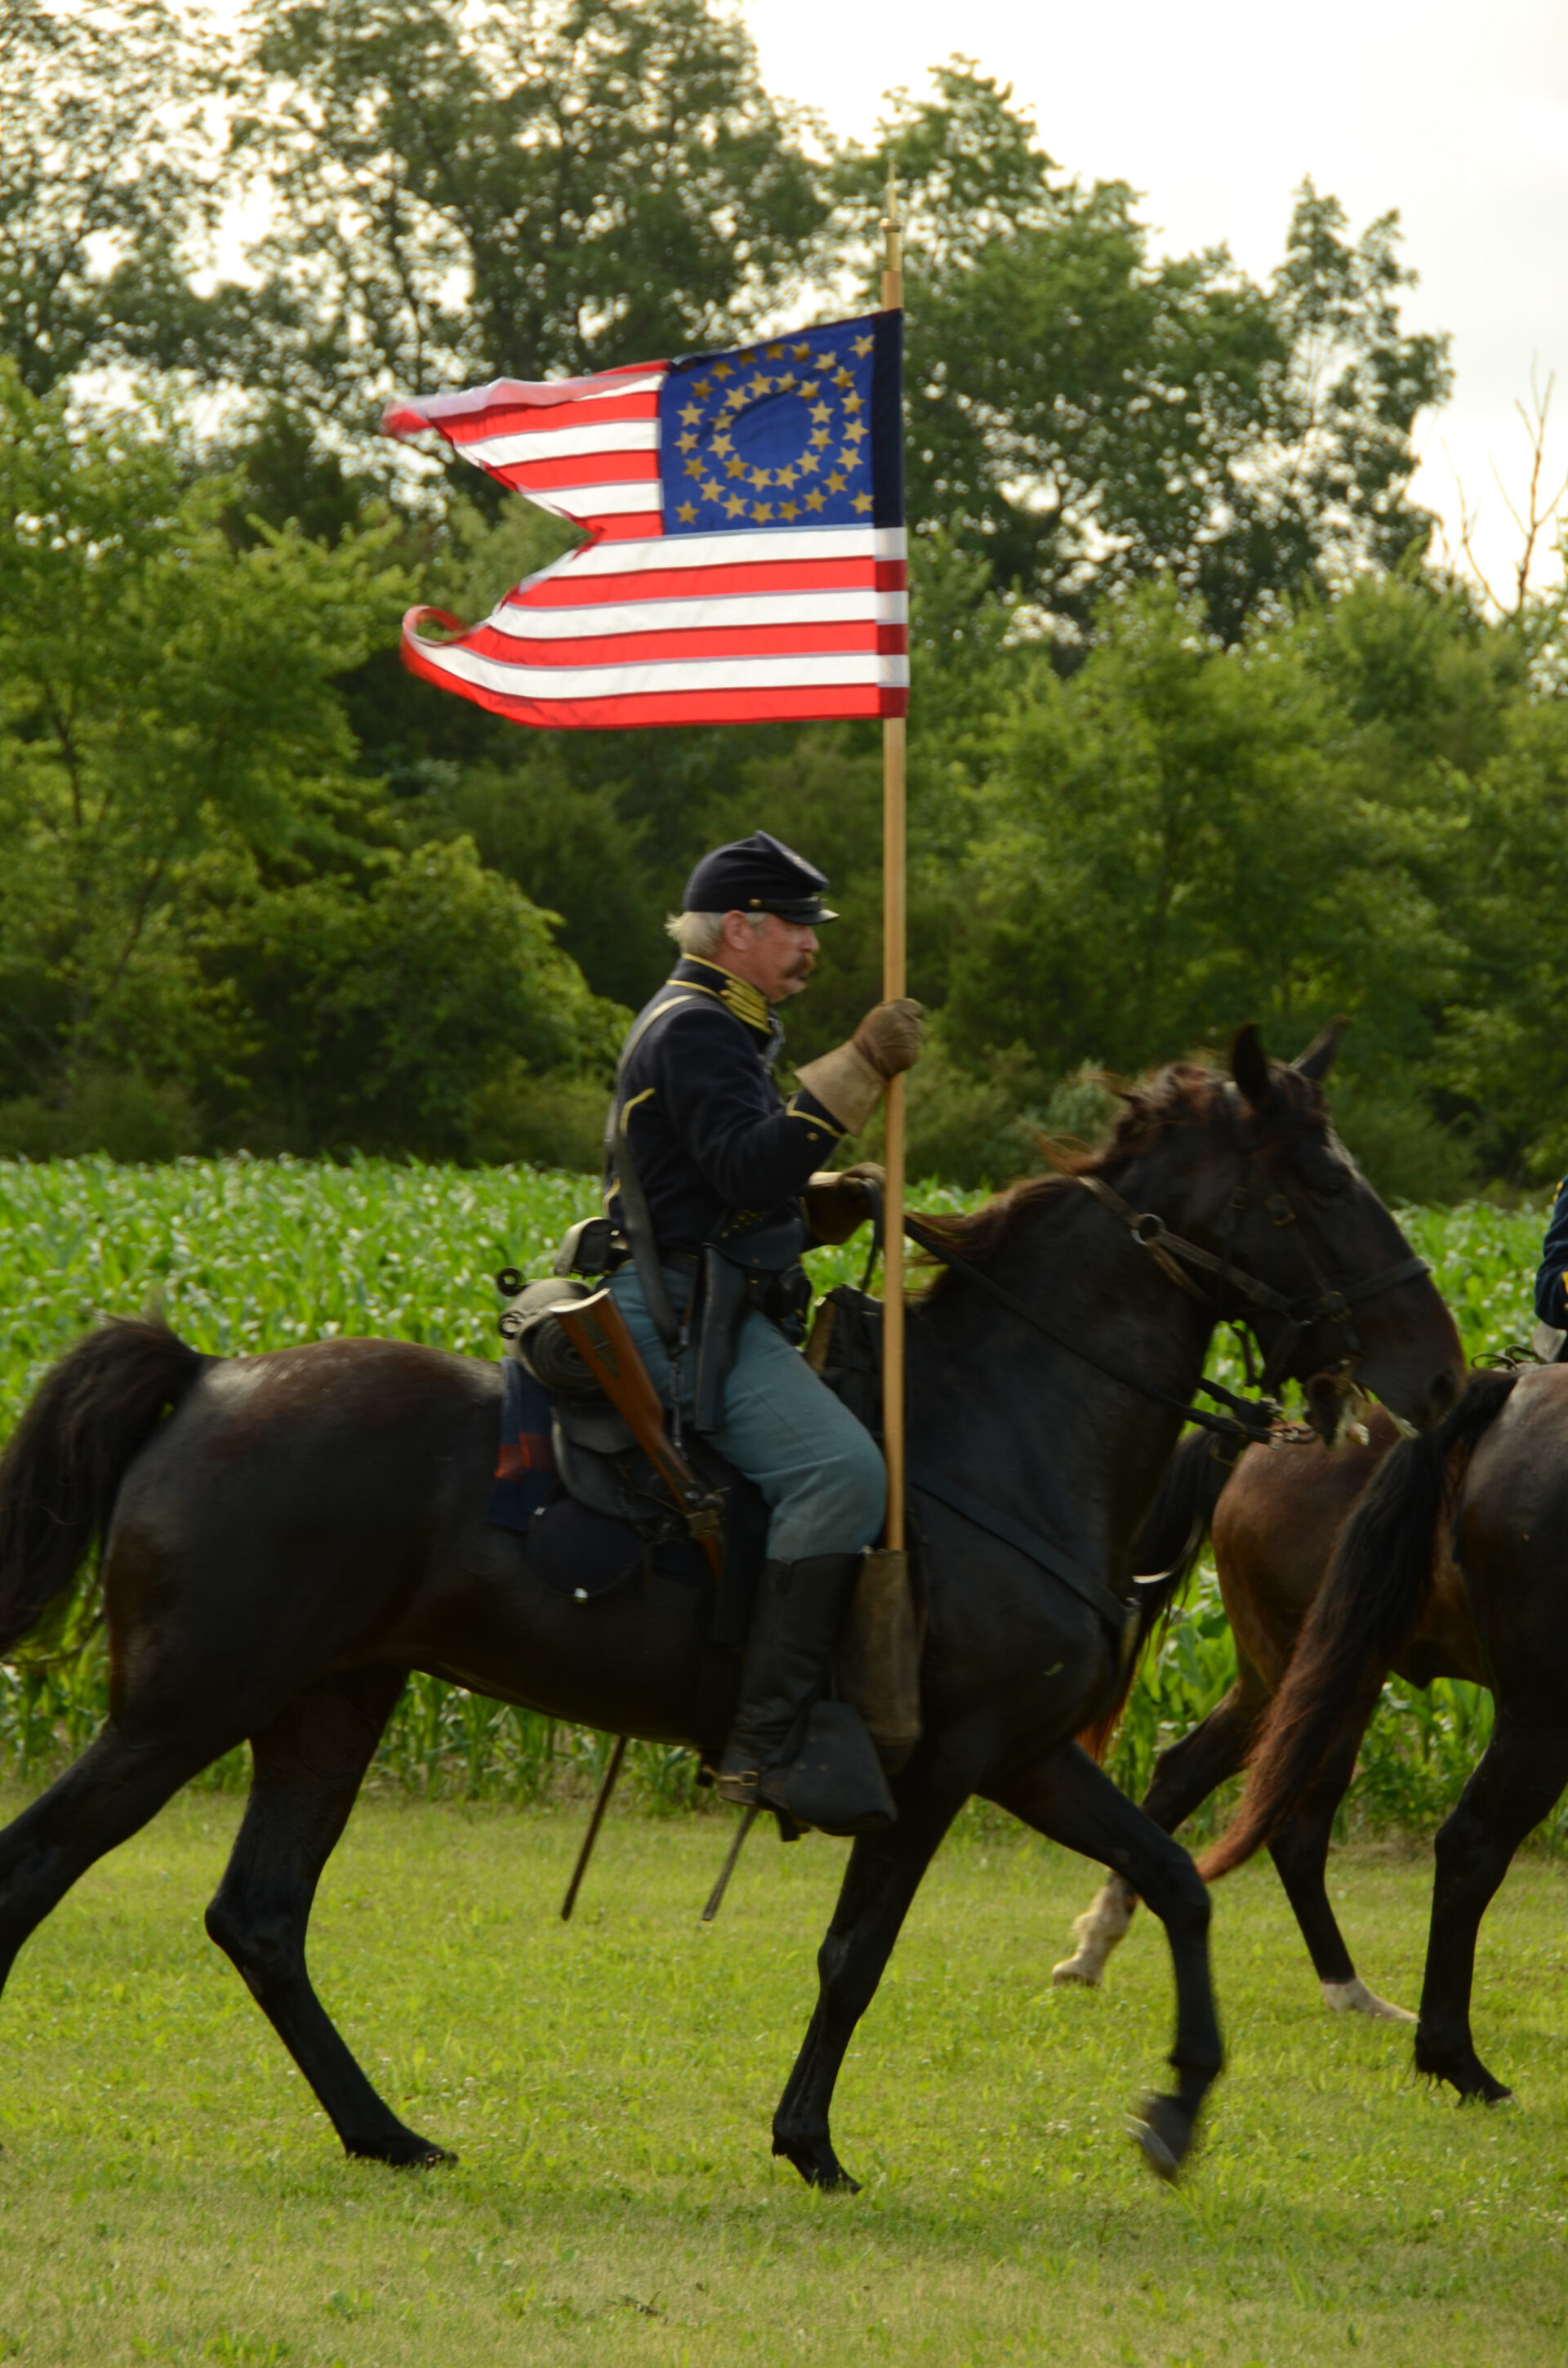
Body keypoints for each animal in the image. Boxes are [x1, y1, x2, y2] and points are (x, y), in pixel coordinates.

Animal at [1056, 1402, 1487, 2017]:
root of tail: (1269, 1438)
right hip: (1330, 1672)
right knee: (1295, 1830)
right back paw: (1349, 1990)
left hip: (1268, 1680)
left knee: (1180, 1771)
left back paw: (1095, 1944)